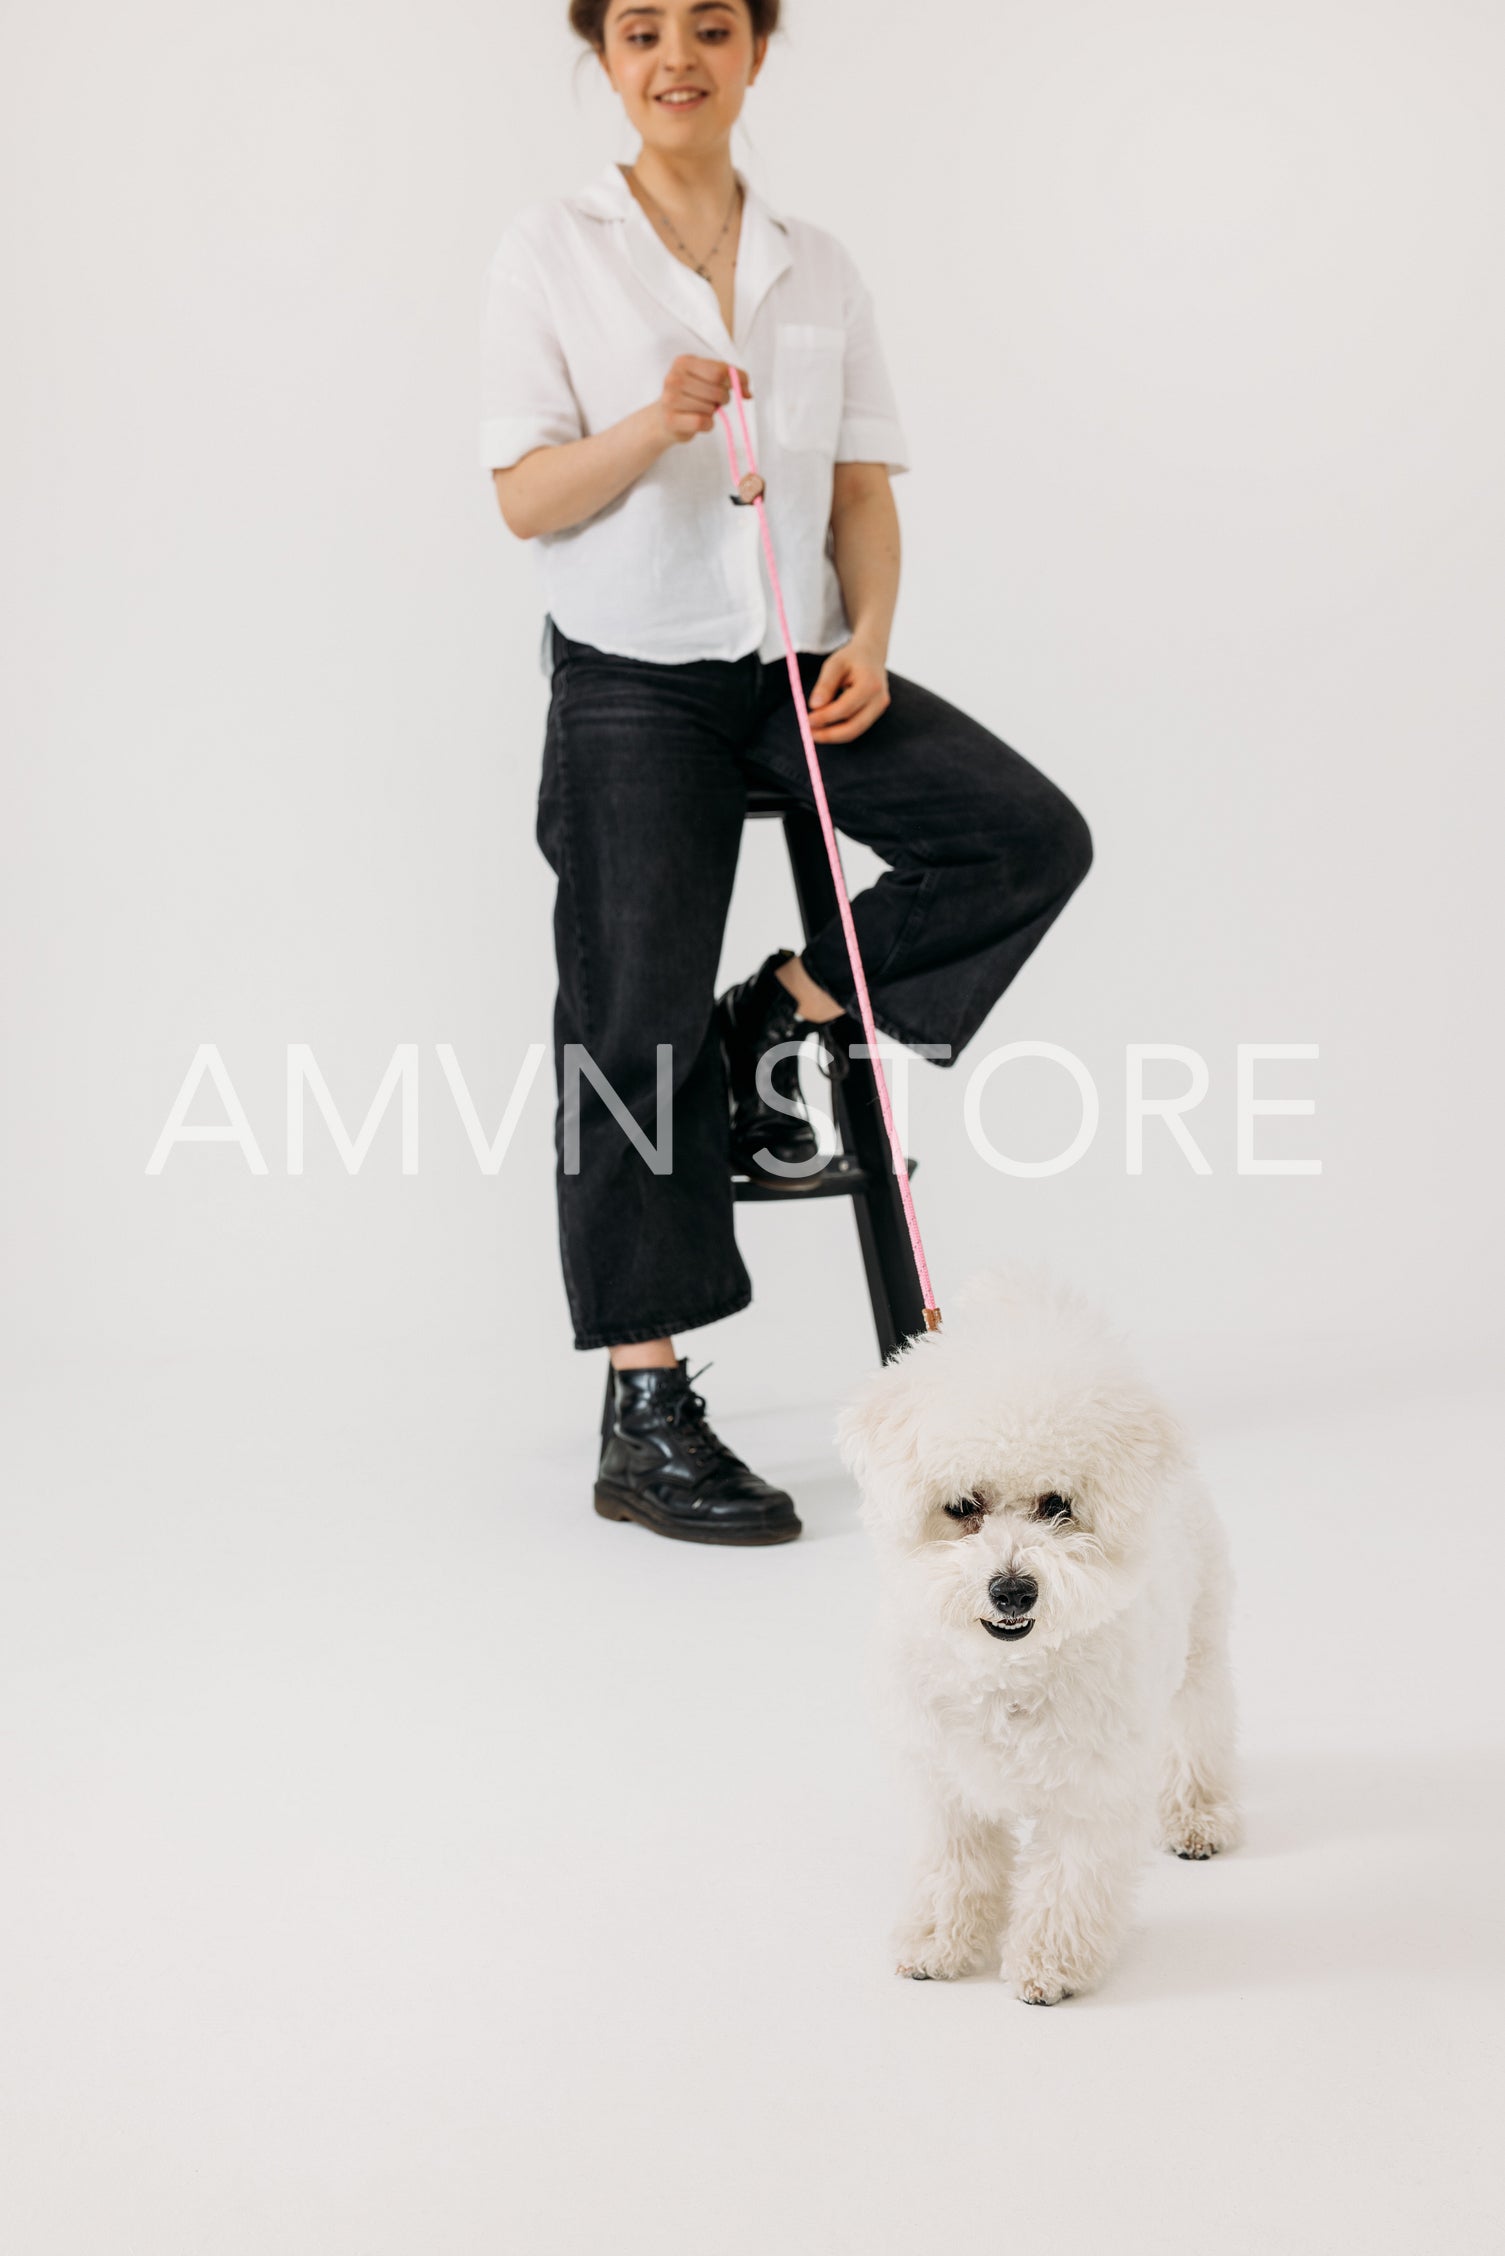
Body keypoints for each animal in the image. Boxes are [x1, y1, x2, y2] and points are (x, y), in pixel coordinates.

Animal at [843, 1272, 1245, 2012]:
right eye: (963, 1506)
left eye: (1057, 1505)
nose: (1012, 1591)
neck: (1008, 1670)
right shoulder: (944, 1784)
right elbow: (953, 1869)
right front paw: (938, 1943)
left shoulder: (1091, 1790)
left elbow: (1069, 1880)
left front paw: (1049, 1964)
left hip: (1200, 1647)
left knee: (1198, 1732)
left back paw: (1197, 1817)